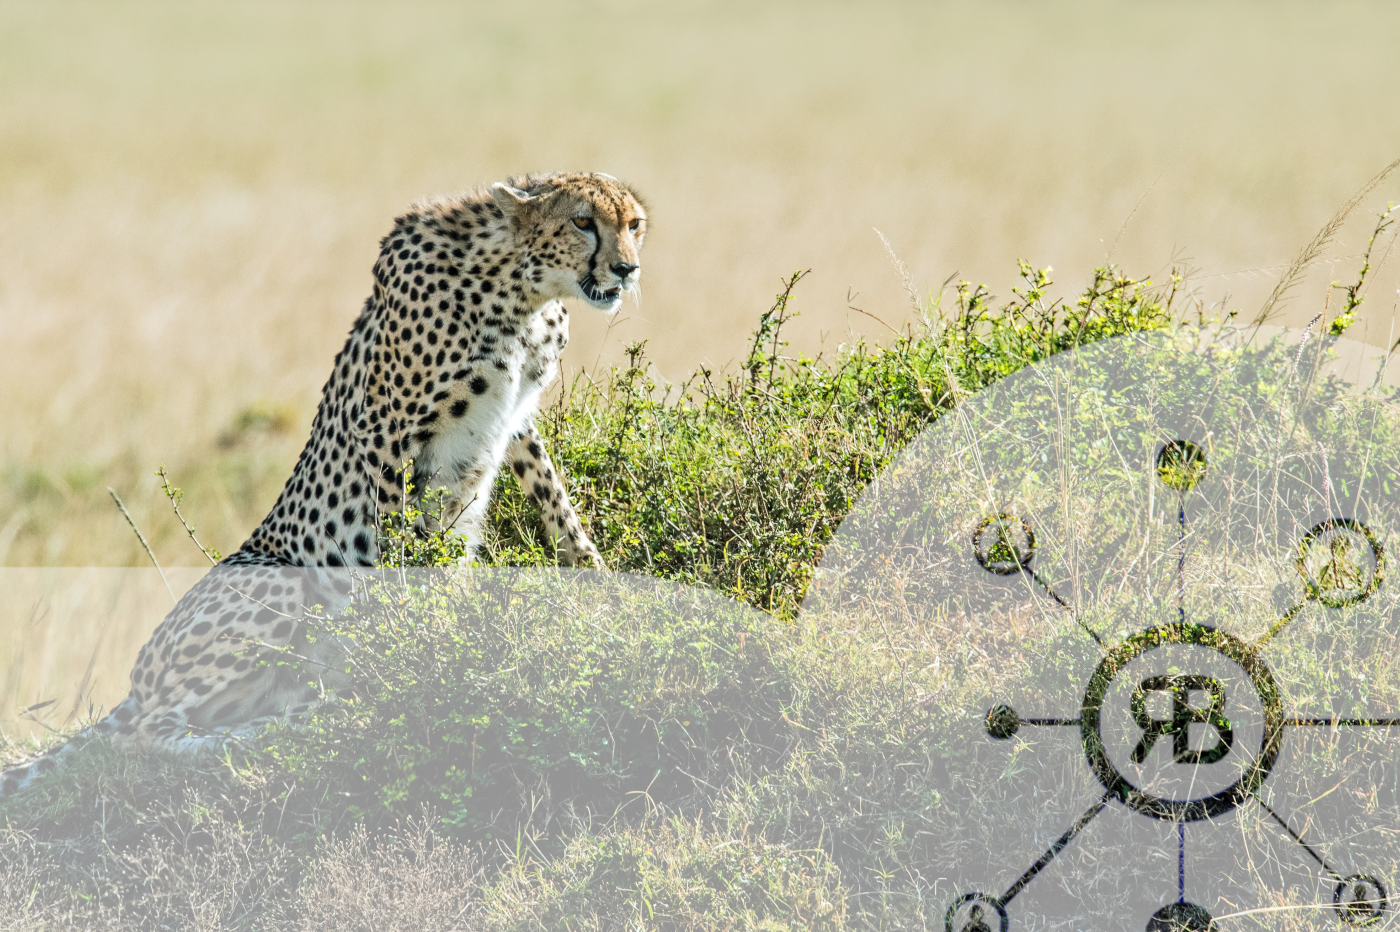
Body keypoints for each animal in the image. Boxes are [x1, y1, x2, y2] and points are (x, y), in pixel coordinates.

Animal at [1, 168, 649, 789]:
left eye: (634, 224)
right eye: (583, 222)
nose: (626, 268)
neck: (523, 288)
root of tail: (136, 686)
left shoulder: (517, 419)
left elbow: (555, 501)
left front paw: (605, 590)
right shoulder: (385, 430)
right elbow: (398, 560)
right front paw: (418, 651)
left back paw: (308, 709)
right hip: (273, 588)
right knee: (145, 735)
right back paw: (260, 736)